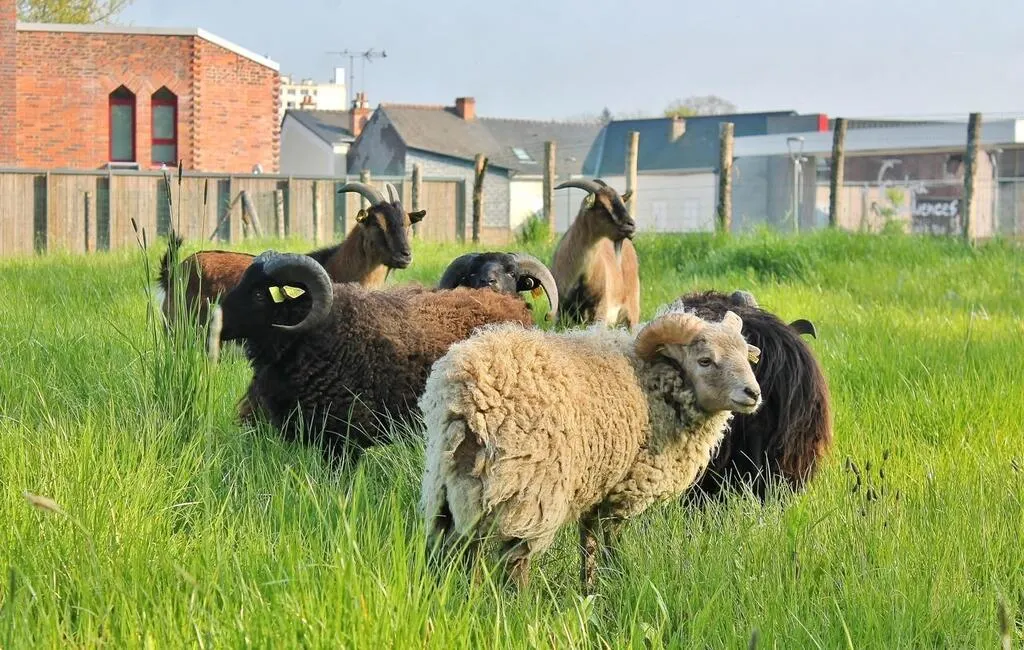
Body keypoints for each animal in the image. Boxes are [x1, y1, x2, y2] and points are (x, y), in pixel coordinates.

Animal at [156, 182, 425, 357]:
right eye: (376, 223)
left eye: (407, 223)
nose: (405, 255)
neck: (334, 267)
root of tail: (175, 271)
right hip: (182, 332)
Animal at [419, 305, 762, 593]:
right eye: (705, 360)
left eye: (746, 357)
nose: (753, 393)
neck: (654, 388)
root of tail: (466, 397)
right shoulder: (624, 490)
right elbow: (610, 540)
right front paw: (616, 581)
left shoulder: (598, 484)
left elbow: (589, 541)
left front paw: (590, 587)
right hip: (529, 490)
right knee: (515, 560)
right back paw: (521, 607)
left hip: (452, 487)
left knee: (457, 548)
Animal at [550, 178, 640, 330]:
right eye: (602, 205)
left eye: (622, 203)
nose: (631, 225)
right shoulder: (560, 312)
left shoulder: (601, 308)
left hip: (632, 310)